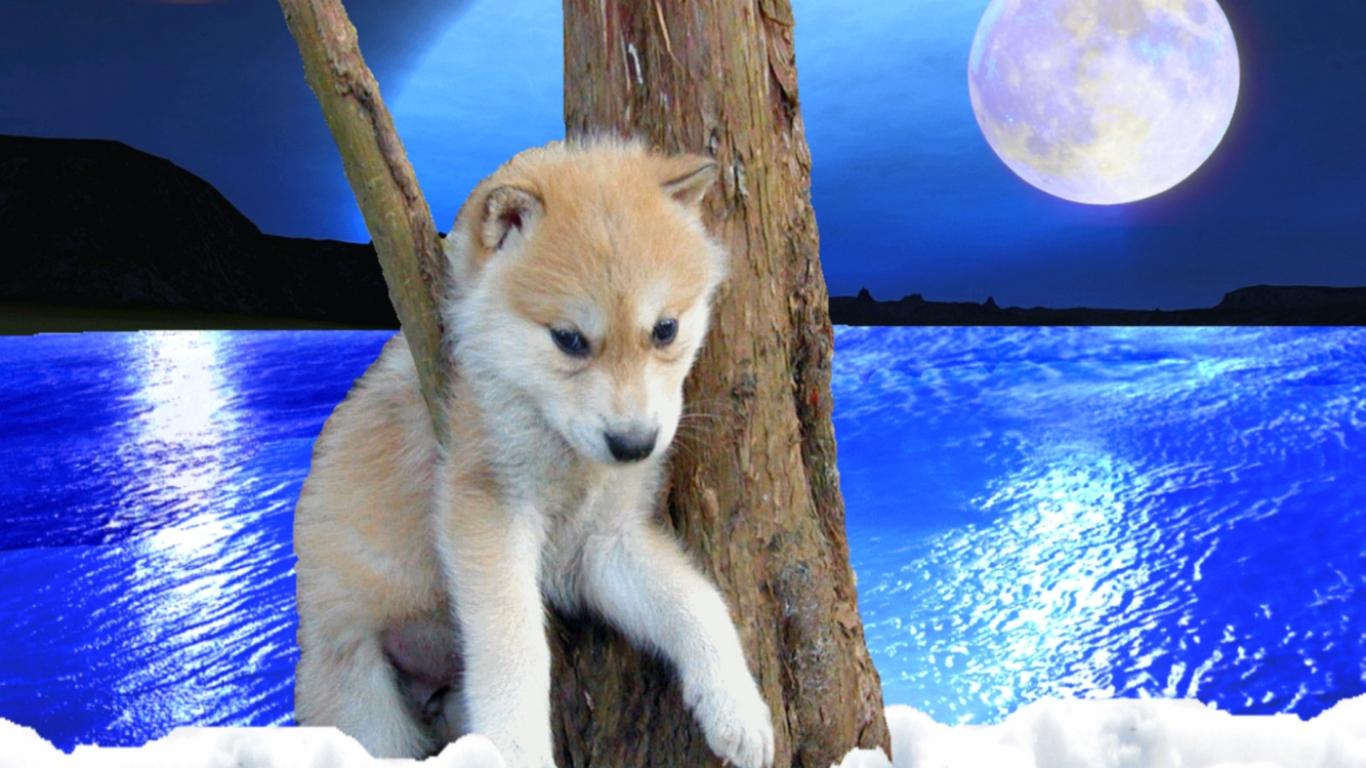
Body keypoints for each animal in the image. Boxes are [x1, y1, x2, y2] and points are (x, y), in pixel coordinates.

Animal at [293, 138, 775, 768]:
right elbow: (515, 648)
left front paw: (737, 706)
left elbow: (695, 601)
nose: (634, 445)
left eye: (665, 329)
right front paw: (515, 749)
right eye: (568, 340)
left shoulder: (602, 544)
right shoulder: (489, 512)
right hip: (366, 700)